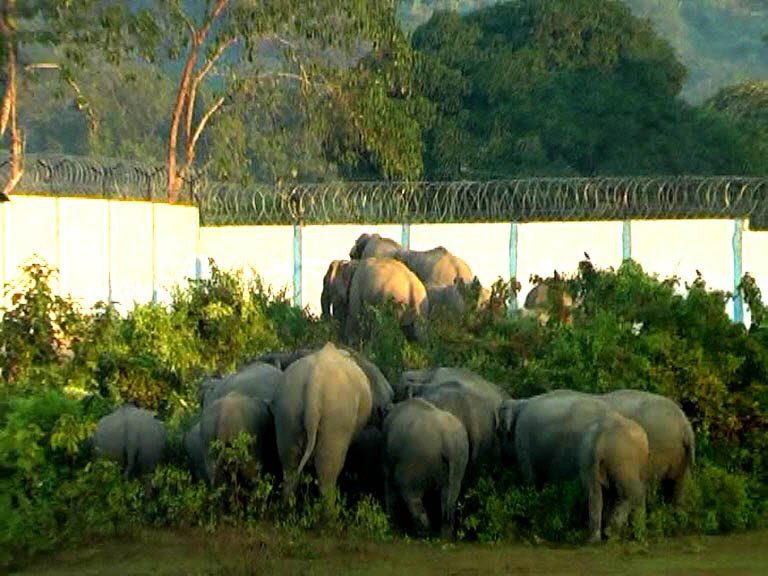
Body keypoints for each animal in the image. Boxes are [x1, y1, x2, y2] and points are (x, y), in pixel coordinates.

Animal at [273, 342, 373, 507]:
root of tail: (315, 383)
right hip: (337, 416)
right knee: (327, 473)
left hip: (287, 407)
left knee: (289, 466)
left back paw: (284, 507)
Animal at [382, 398, 469, 538]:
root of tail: (449, 442)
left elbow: (389, 483)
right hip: (459, 461)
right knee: (449, 499)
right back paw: (444, 537)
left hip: (416, 459)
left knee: (410, 493)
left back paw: (423, 533)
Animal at [499, 391, 649, 543]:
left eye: (499, 431)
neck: (520, 403)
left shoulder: (523, 440)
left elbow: (530, 480)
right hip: (595, 457)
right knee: (601, 493)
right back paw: (601, 537)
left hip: (619, 461)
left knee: (631, 492)